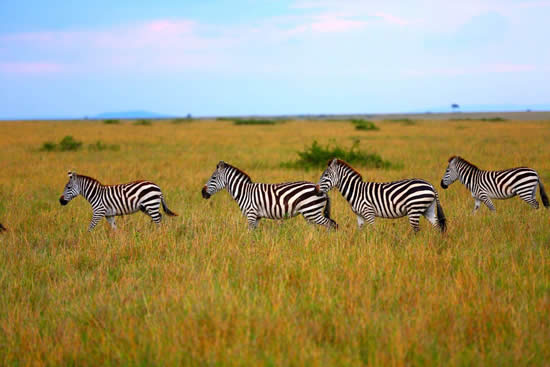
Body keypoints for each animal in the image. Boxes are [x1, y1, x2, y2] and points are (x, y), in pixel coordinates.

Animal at [203, 161, 338, 230]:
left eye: (213, 178)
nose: (202, 193)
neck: (244, 192)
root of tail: (321, 189)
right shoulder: (257, 217)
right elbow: (255, 234)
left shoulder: (251, 214)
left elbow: (249, 233)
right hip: (310, 213)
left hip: (312, 211)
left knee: (331, 224)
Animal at [314, 159, 448, 233]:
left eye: (326, 175)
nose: (316, 189)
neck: (356, 191)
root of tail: (430, 185)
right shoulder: (359, 215)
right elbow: (360, 231)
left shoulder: (369, 212)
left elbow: (374, 230)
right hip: (428, 209)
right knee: (438, 226)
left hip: (414, 210)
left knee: (417, 230)